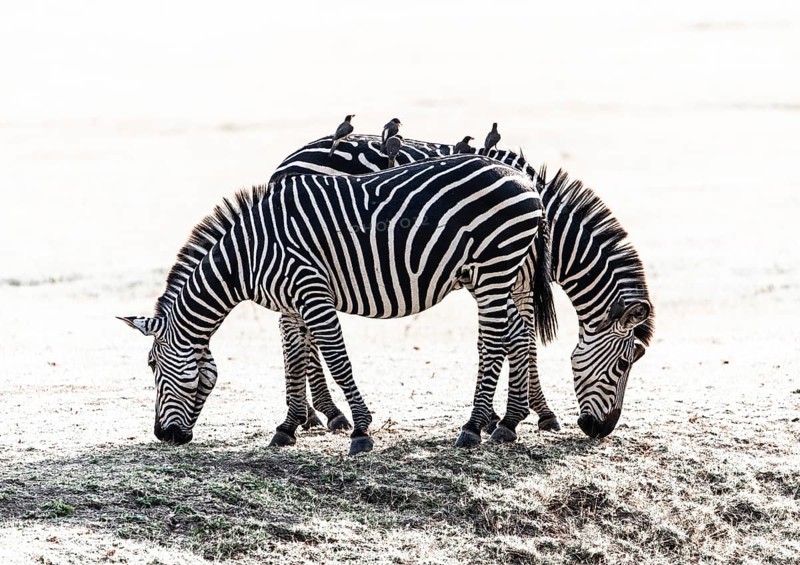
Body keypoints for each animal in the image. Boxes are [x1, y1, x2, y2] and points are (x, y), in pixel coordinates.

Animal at [119, 154, 555, 455]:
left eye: (152, 365)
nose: (164, 436)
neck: (247, 256)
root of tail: (527, 181)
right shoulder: (292, 304)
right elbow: (295, 359)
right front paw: (288, 427)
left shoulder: (311, 291)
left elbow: (336, 358)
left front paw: (360, 431)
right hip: (496, 274)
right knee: (518, 334)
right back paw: (508, 423)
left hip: (493, 269)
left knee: (495, 341)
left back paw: (473, 427)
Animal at [271, 134, 654, 439]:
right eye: (624, 365)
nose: (601, 430)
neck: (554, 229)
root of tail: (288, 161)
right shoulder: (507, 276)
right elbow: (516, 342)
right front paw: (512, 417)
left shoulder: (516, 283)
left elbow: (517, 342)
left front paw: (523, 414)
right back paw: (328, 412)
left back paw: (313, 413)